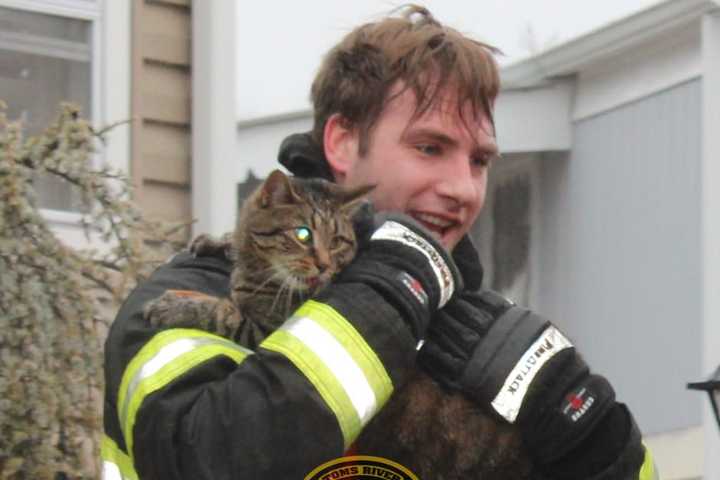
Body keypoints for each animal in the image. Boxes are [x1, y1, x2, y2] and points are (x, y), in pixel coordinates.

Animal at [145, 171, 536, 478]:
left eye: (337, 241)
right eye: (302, 234)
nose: (322, 265)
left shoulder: (266, 327)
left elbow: (223, 313)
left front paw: (174, 305)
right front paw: (220, 242)